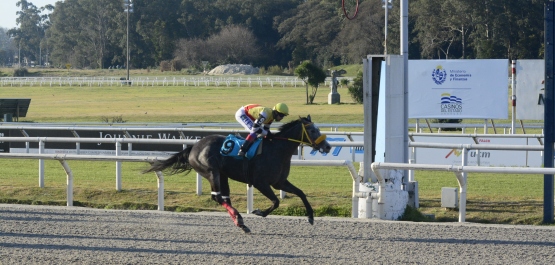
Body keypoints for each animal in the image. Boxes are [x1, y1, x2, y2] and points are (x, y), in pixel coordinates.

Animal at [146, 115, 332, 231]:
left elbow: (301, 193)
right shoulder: (261, 183)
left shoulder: (279, 182)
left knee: (224, 198)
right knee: (217, 197)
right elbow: (276, 202)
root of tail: (194, 147)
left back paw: (239, 222)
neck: (277, 150)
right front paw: (259, 212)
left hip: (223, 174)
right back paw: (240, 220)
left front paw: (311, 217)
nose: (328, 146)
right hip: (211, 172)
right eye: (313, 130)